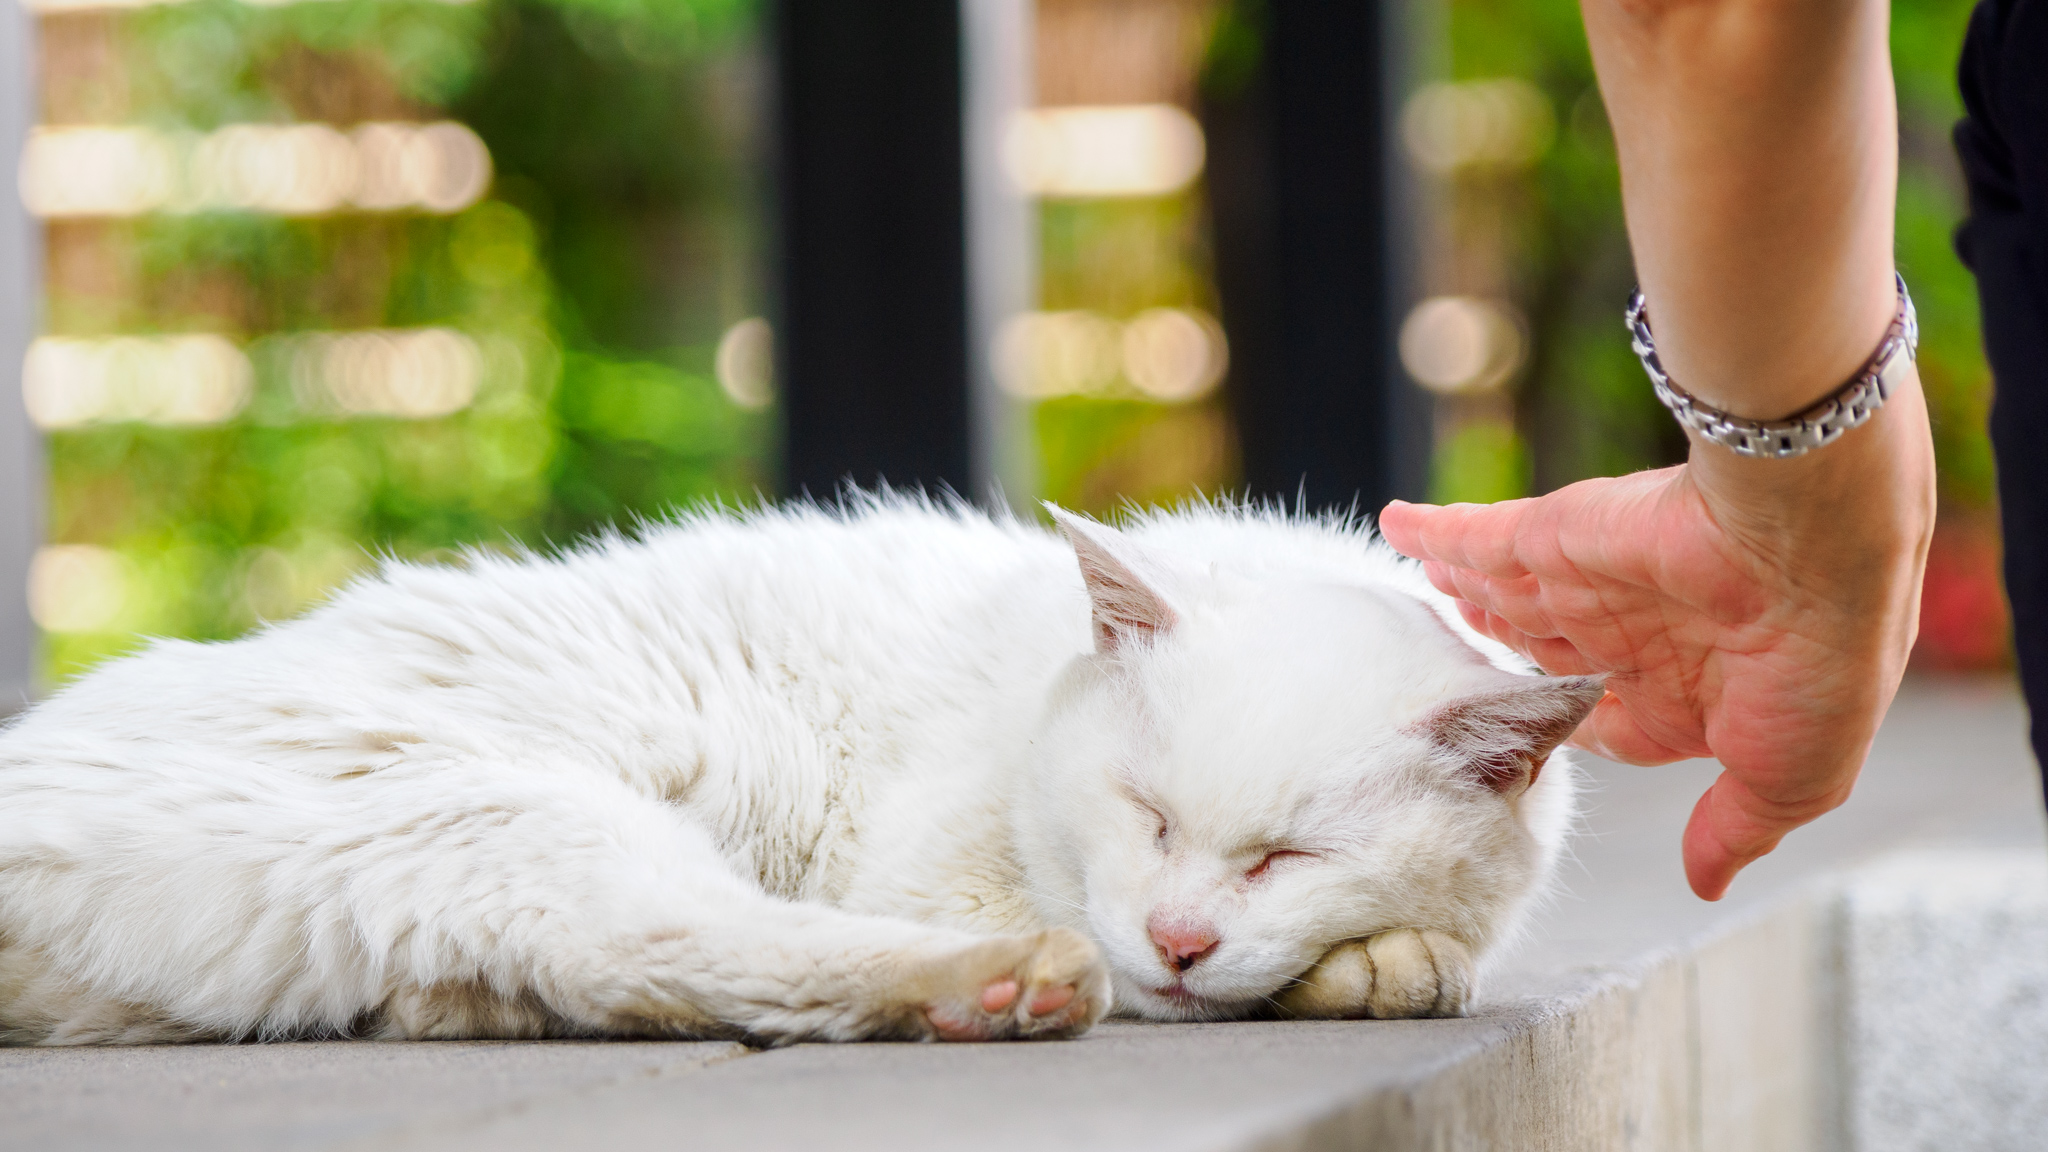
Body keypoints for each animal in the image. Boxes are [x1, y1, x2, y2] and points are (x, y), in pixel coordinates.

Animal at [0, 494, 1597, 1041]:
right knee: (695, 949)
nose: (1180, 933)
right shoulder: (939, 867)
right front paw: (1364, 973)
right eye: (1144, 817)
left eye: (1293, 856)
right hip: (512, 815)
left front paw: (1383, 960)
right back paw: (1001, 993)